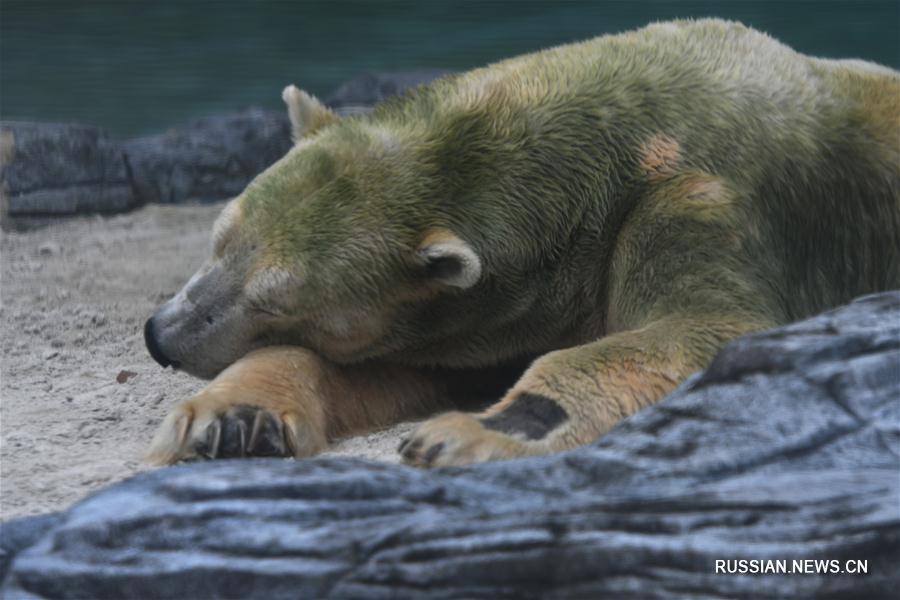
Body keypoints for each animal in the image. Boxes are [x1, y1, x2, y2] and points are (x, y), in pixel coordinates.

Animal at [142, 18, 900, 468]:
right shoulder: (490, 307)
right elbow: (401, 365)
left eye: (274, 299)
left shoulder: (701, 201)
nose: (162, 335)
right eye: (219, 241)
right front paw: (231, 424)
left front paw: (461, 435)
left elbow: (702, 328)